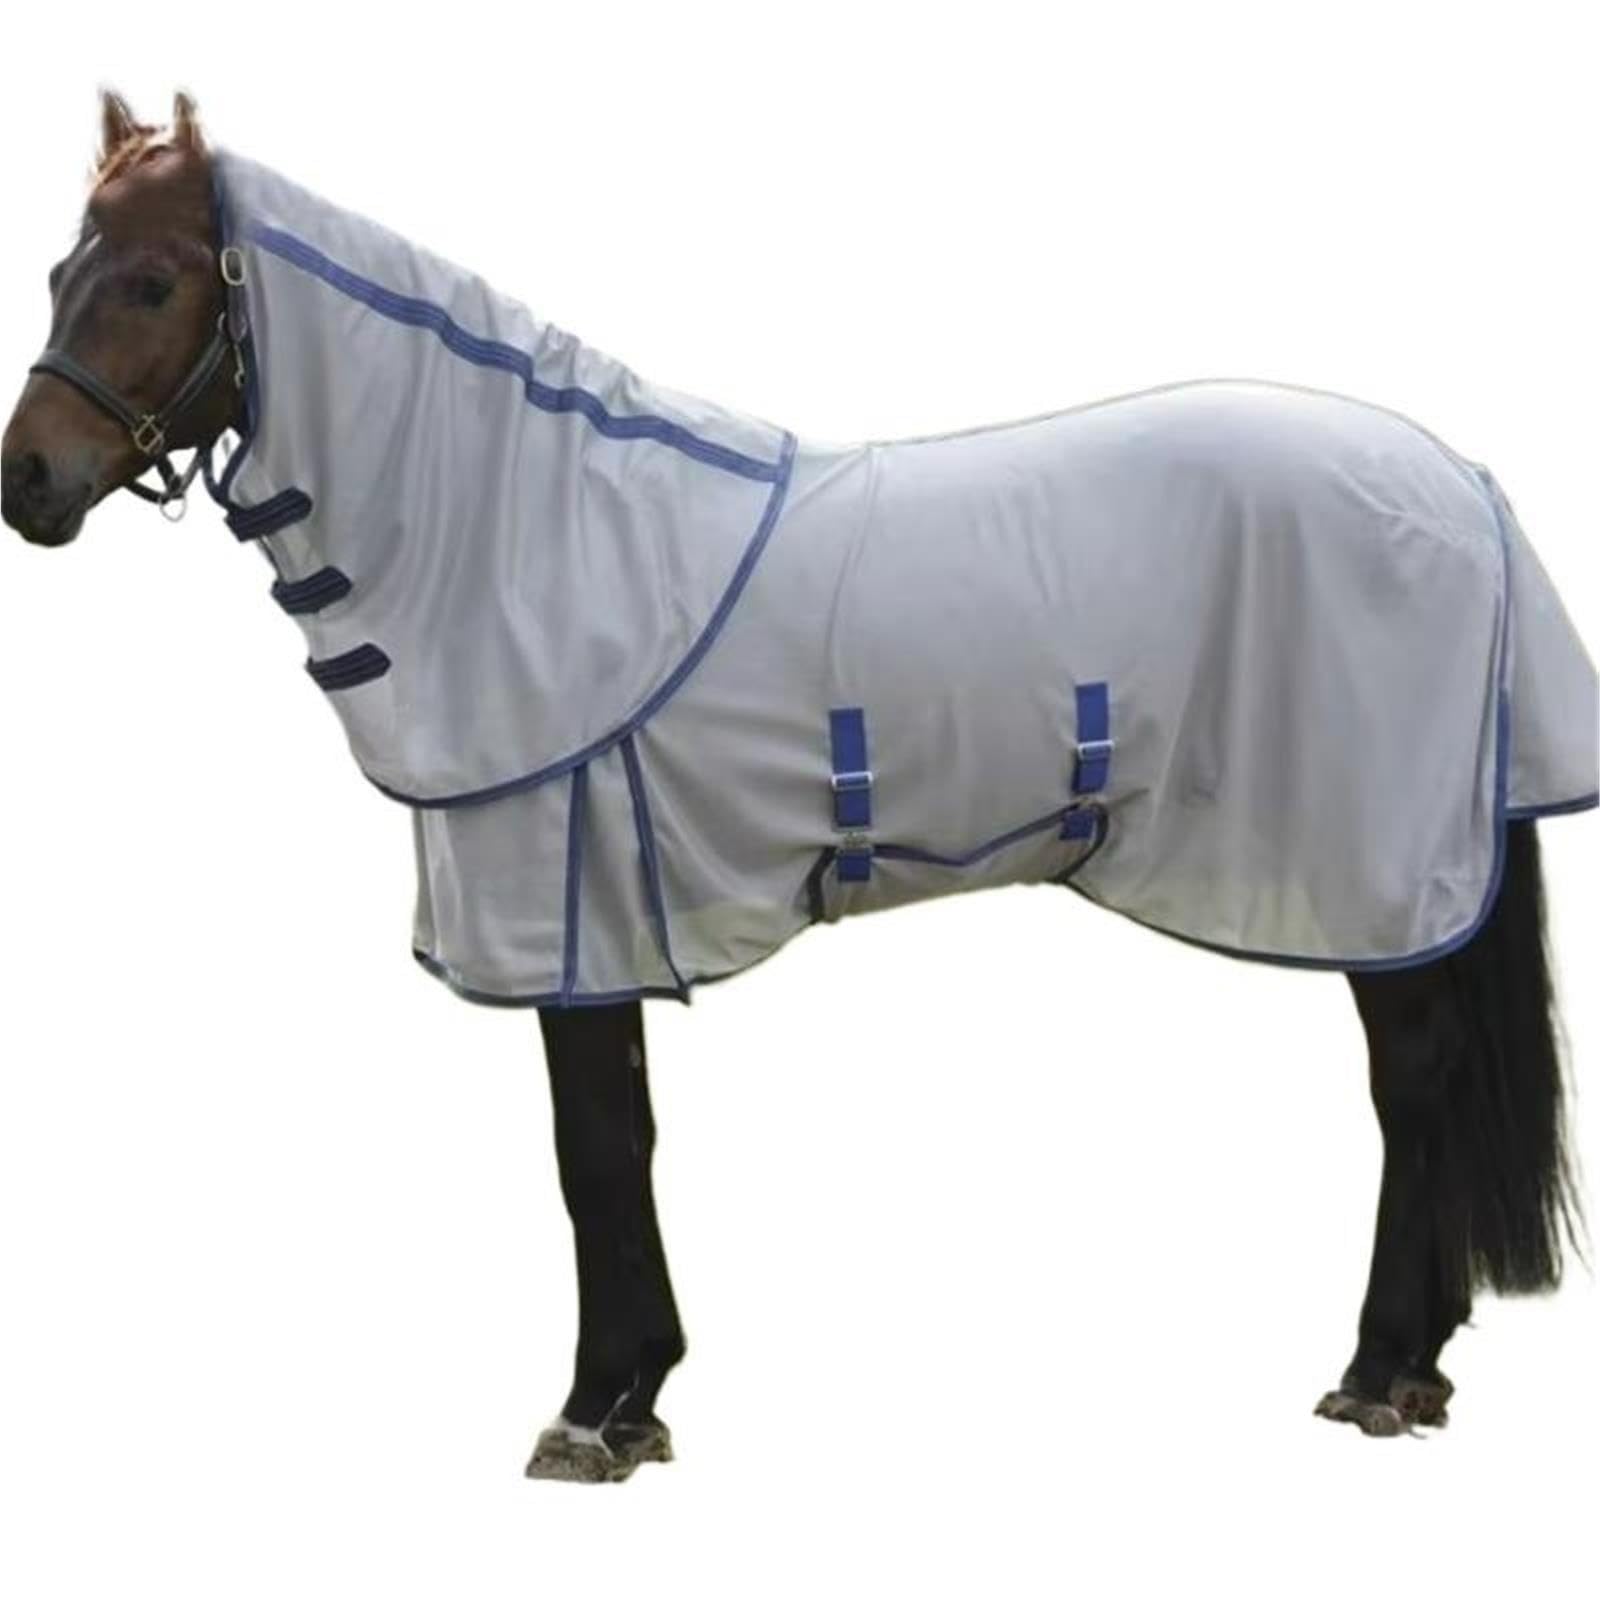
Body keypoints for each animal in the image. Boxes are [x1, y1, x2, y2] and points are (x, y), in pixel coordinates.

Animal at [3, 92, 1594, 1483]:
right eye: (60, 271)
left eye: (151, 281)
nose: (28, 485)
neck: (536, 535)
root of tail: (1459, 484)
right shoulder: (604, 920)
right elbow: (626, 1144)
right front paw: (639, 1395)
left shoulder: (568, 916)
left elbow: (592, 1156)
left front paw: (591, 1414)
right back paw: (1418, 1368)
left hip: (1372, 877)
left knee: (1415, 1089)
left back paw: (1380, 1370)